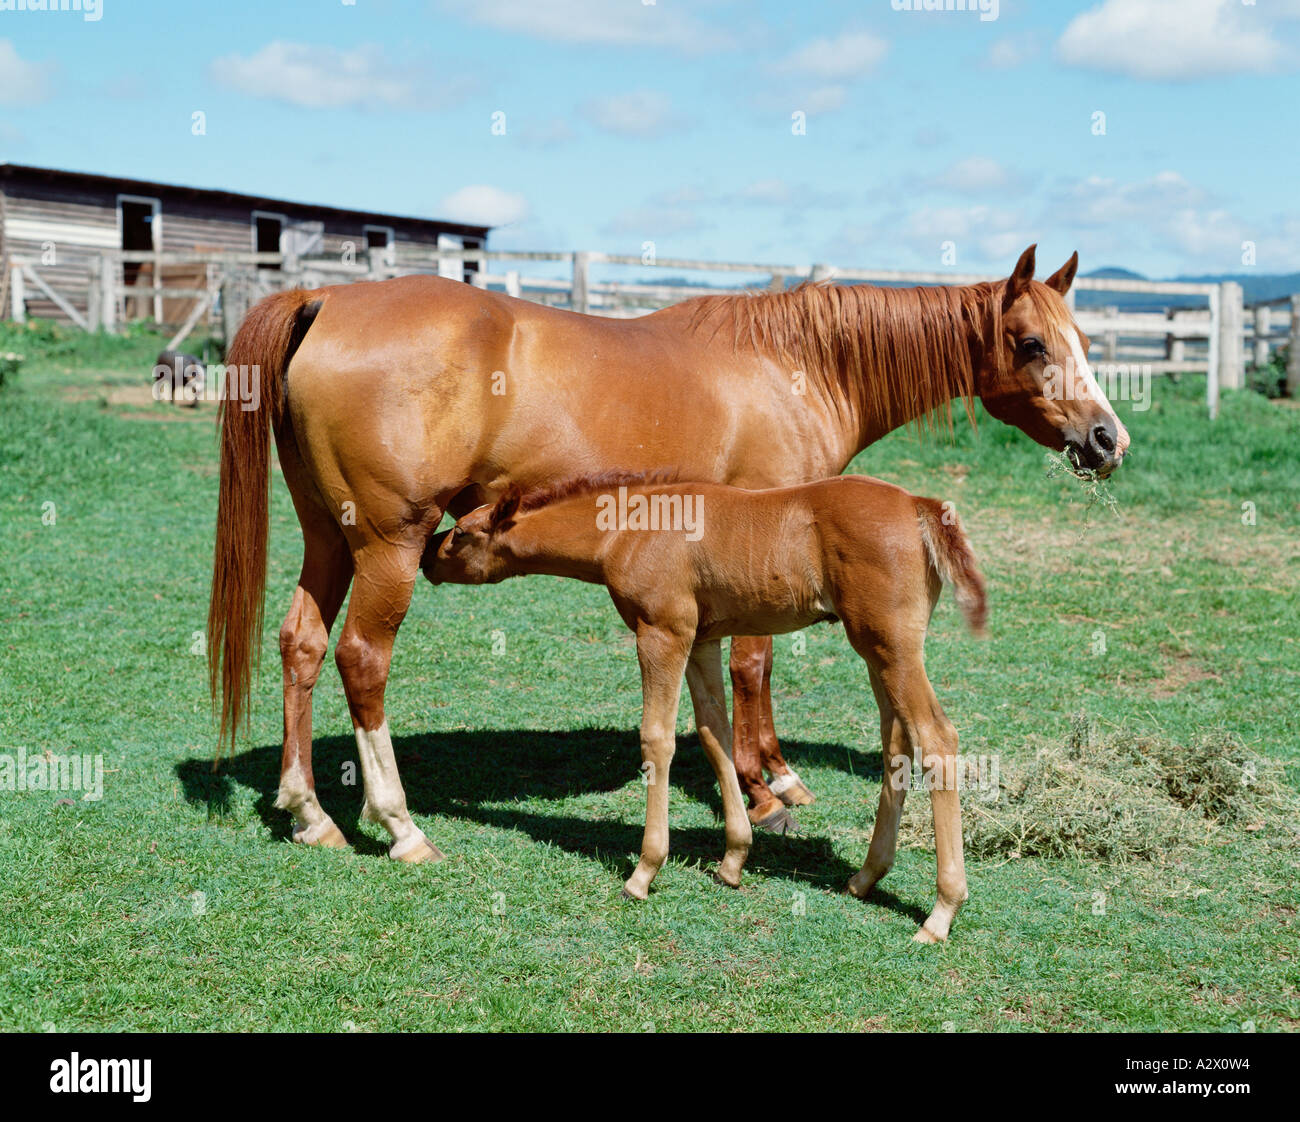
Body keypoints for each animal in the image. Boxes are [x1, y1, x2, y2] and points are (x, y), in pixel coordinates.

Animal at [207, 244, 1127, 859]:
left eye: (1083, 340)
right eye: (1033, 344)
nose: (1106, 438)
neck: (793, 365)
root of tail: (326, 299)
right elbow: (755, 666)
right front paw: (769, 787)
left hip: (330, 539)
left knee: (302, 645)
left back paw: (310, 813)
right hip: (389, 547)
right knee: (362, 659)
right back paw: (399, 825)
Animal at [424, 471, 987, 942]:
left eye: (462, 532)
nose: (426, 557)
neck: (626, 531)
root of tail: (920, 506)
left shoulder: (662, 633)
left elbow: (657, 737)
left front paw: (644, 871)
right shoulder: (702, 640)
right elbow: (715, 732)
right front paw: (733, 861)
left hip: (891, 647)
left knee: (938, 739)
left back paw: (941, 913)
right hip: (878, 652)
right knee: (897, 745)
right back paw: (865, 877)